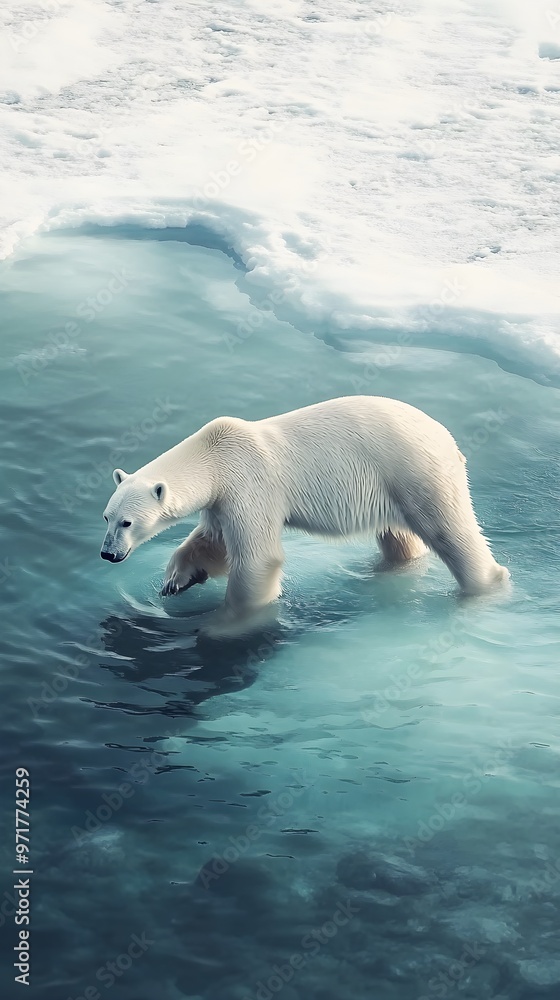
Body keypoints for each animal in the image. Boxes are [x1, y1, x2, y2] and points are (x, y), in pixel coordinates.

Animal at [101, 396, 508, 632]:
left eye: (127, 522)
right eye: (106, 517)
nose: (108, 553)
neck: (215, 455)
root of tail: (449, 440)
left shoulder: (249, 485)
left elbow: (257, 558)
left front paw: (227, 623)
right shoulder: (222, 500)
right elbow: (212, 542)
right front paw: (176, 580)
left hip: (414, 471)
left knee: (450, 532)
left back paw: (485, 586)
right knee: (400, 538)